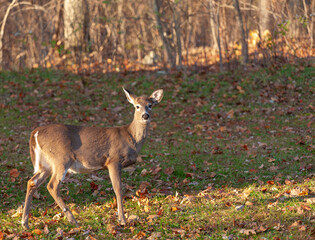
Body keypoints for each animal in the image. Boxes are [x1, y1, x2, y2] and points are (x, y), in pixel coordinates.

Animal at [21, 87, 165, 229]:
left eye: (150, 105)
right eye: (137, 106)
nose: (145, 115)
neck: (131, 137)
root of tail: (35, 133)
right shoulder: (113, 160)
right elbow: (118, 189)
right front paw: (122, 220)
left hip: (46, 164)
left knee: (32, 182)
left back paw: (25, 223)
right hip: (61, 158)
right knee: (52, 185)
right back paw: (73, 220)